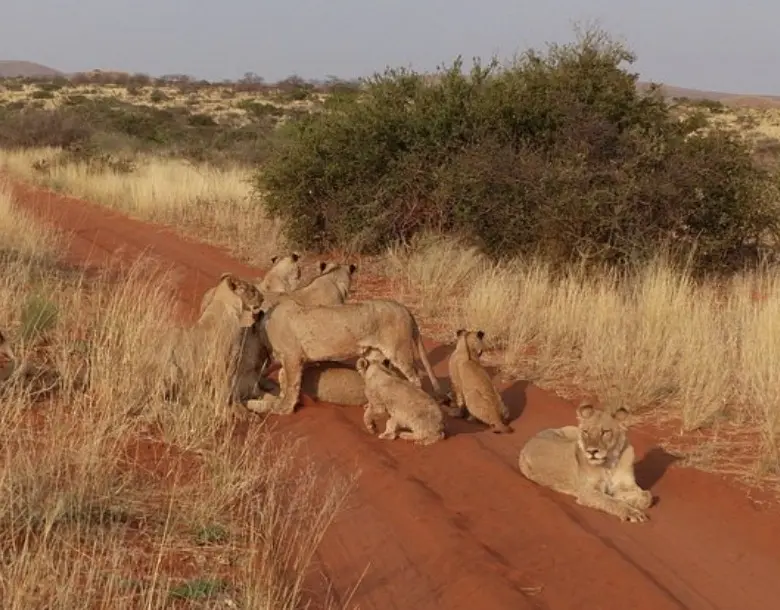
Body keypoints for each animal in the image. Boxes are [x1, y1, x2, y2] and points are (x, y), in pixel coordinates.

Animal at [245, 298, 443, 416]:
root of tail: (405, 308)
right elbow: (284, 379)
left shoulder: (292, 357)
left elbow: (292, 385)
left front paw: (283, 408)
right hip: (375, 355)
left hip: (399, 351)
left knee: (415, 379)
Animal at [517, 402, 653, 523]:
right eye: (586, 432)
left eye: (605, 432)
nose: (591, 451)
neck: (609, 463)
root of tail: (532, 438)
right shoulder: (587, 492)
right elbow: (610, 501)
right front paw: (631, 511)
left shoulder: (626, 485)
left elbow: (647, 496)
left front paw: (631, 500)